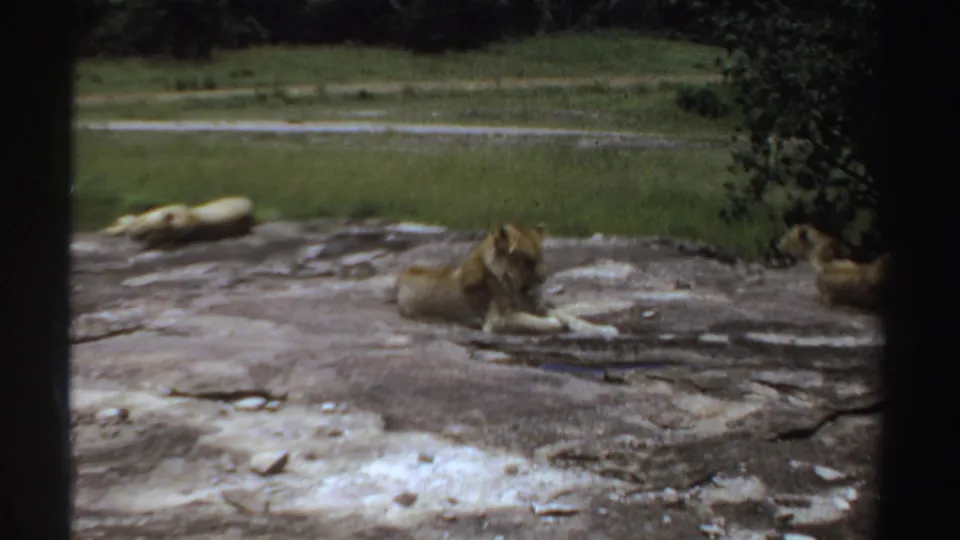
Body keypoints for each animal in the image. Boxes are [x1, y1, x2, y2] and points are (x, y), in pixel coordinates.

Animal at [395, 222, 620, 336]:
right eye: (528, 260)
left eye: (540, 256)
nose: (544, 277)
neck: (516, 285)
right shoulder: (496, 320)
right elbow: (532, 320)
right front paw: (553, 323)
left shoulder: (537, 305)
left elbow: (571, 316)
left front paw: (604, 329)